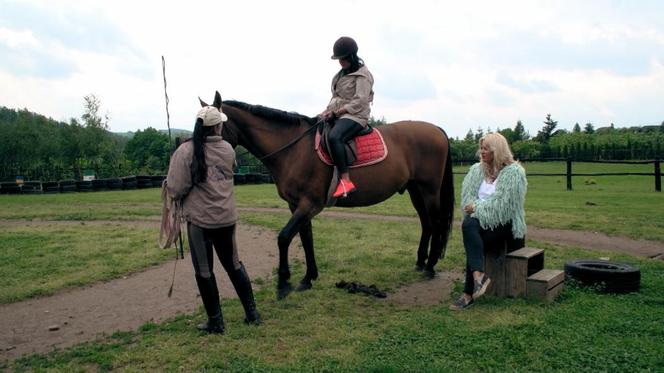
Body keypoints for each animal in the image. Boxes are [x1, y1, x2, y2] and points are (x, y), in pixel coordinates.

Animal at [200, 91, 454, 298]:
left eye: (209, 128)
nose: (197, 163)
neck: (294, 150)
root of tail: (438, 130)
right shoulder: (297, 205)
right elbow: (306, 238)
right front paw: (308, 278)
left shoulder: (309, 204)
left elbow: (284, 237)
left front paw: (283, 283)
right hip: (415, 190)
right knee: (427, 224)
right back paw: (420, 262)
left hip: (429, 190)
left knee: (436, 222)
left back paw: (430, 266)